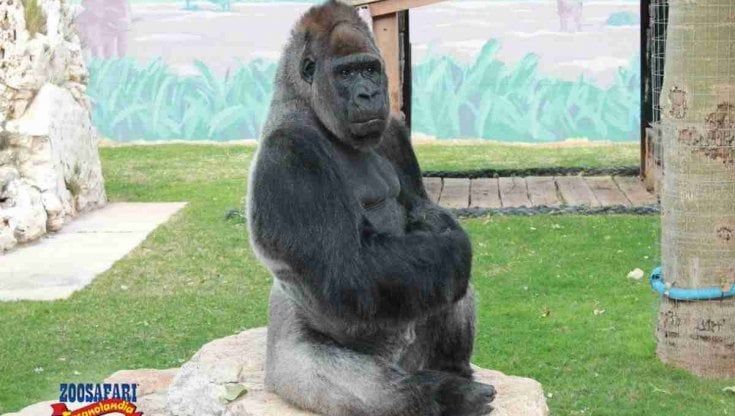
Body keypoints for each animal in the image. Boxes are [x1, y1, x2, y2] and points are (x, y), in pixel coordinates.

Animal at [247, 2, 495, 415]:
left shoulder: (393, 130)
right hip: (291, 367)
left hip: (413, 355)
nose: (368, 93)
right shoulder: (289, 155)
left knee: (447, 281)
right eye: (346, 73)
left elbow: (425, 213)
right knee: (379, 393)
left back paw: (453, 372)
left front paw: (439, 224)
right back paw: (443, 394)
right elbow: (348, 268)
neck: (305, 102)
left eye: (369, 69)